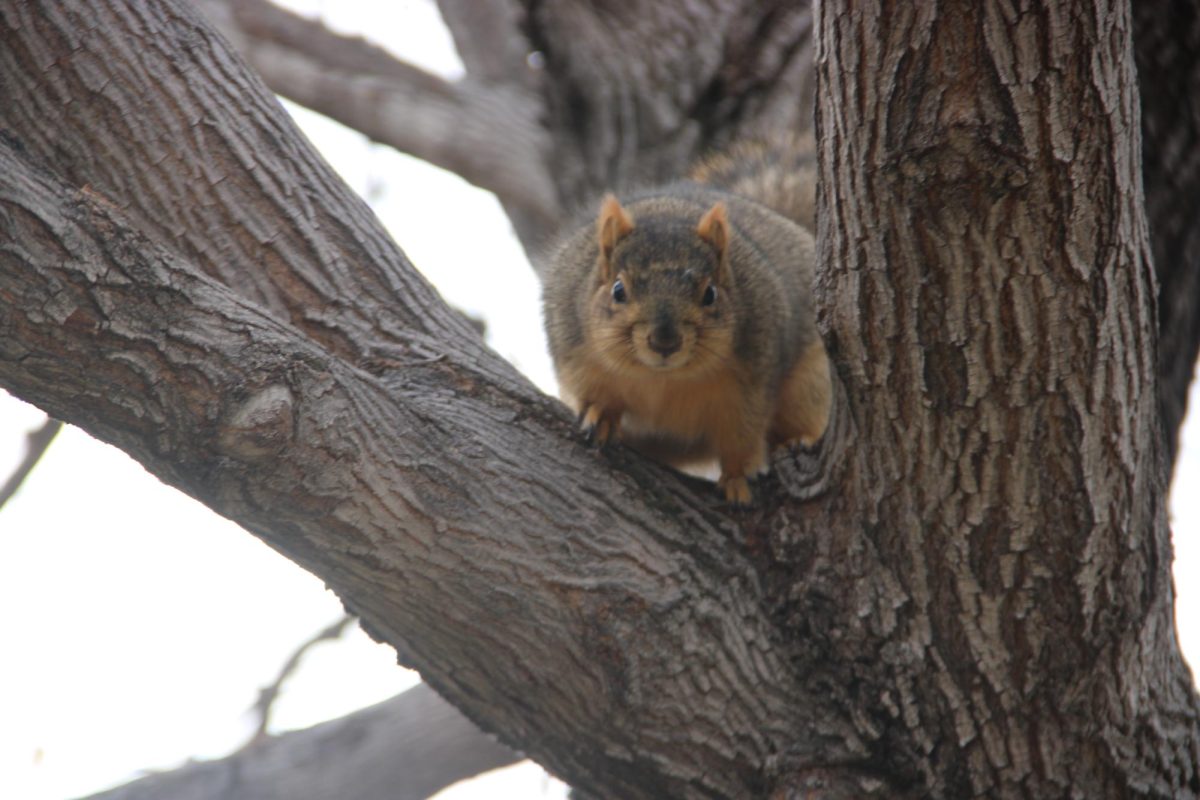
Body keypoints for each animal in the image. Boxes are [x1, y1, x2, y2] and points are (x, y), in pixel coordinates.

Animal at [541, 136, 830, 505]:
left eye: (710, 294)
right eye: (618, 290)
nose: (665, 341)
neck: (661, 379)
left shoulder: (750, 386)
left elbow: (741, 437)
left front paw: (737, 478)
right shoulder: (575, 356)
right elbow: (592, 392)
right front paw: (601, 414)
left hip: (811, 381)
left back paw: (796, 439)